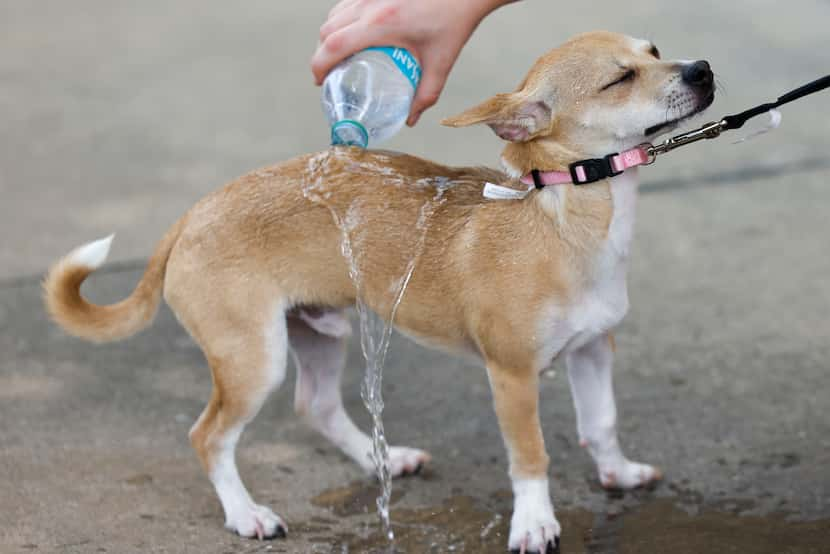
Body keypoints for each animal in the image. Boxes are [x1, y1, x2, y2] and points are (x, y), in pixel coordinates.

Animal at [44, 31, 716, 552]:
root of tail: (190, 216)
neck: (564, 210)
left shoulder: (593, 350)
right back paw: (246, 514)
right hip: (253, 359)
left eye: (655, 50)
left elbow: (601, 422)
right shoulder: (513, 375)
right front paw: (534, 524)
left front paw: (618, 474)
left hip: (317, 331)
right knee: (209, 436)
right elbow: (531, 456)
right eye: (620, 79)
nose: (704, 69)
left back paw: (383, 461)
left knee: (314, 405)